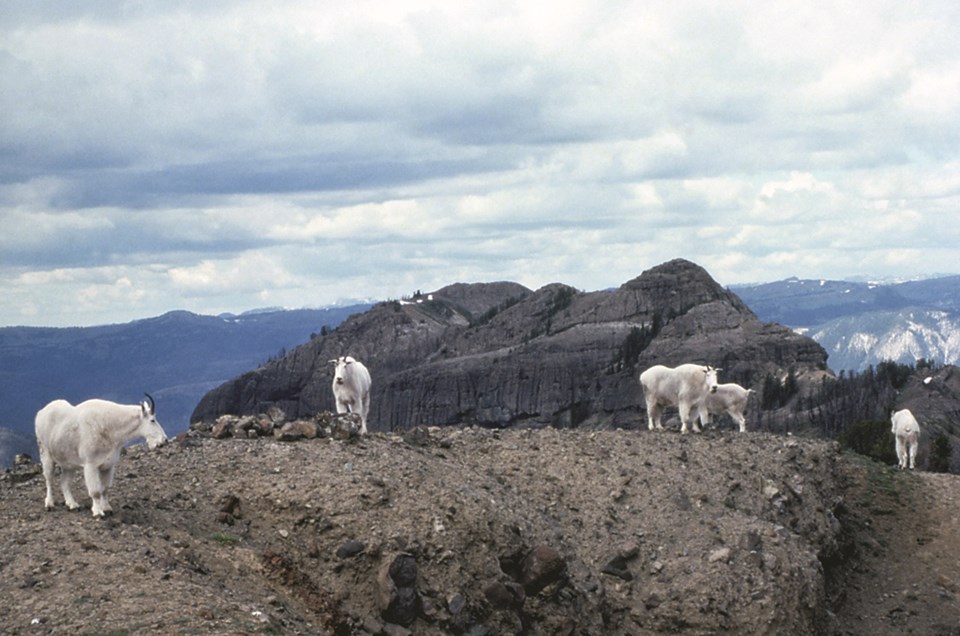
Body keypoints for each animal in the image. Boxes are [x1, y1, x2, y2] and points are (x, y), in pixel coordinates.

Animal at [34, 392, 167, 516]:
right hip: (45, 453)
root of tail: (40, 413)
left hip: (68, 463)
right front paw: (98, 512)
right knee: (49, 479)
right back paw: (49, 504)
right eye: (152, 420)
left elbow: (105, 489)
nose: (164, 441)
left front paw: (107, 508)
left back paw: (72, 505)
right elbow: (96, 491)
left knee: (64, 482)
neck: (110, 426)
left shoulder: (108, 466)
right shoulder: (90, 465)